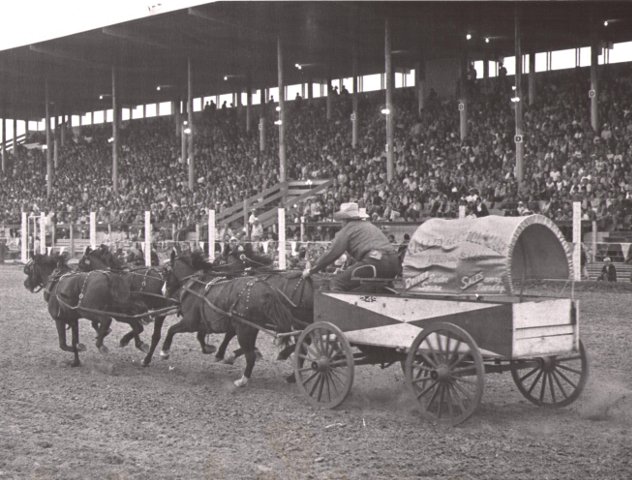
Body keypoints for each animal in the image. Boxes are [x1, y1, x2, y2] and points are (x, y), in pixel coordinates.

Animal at [160, 251, 298, 386]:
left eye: (166, 272)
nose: (163, 291)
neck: (195, 286)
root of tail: (267, 290)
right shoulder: (205, 324)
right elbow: (201, 337)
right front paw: (210, 349)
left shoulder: (190, 323)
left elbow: (171, 330)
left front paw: (164, 352)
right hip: (251, 328)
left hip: (244, 329)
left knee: (250, 356)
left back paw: (242, 380)